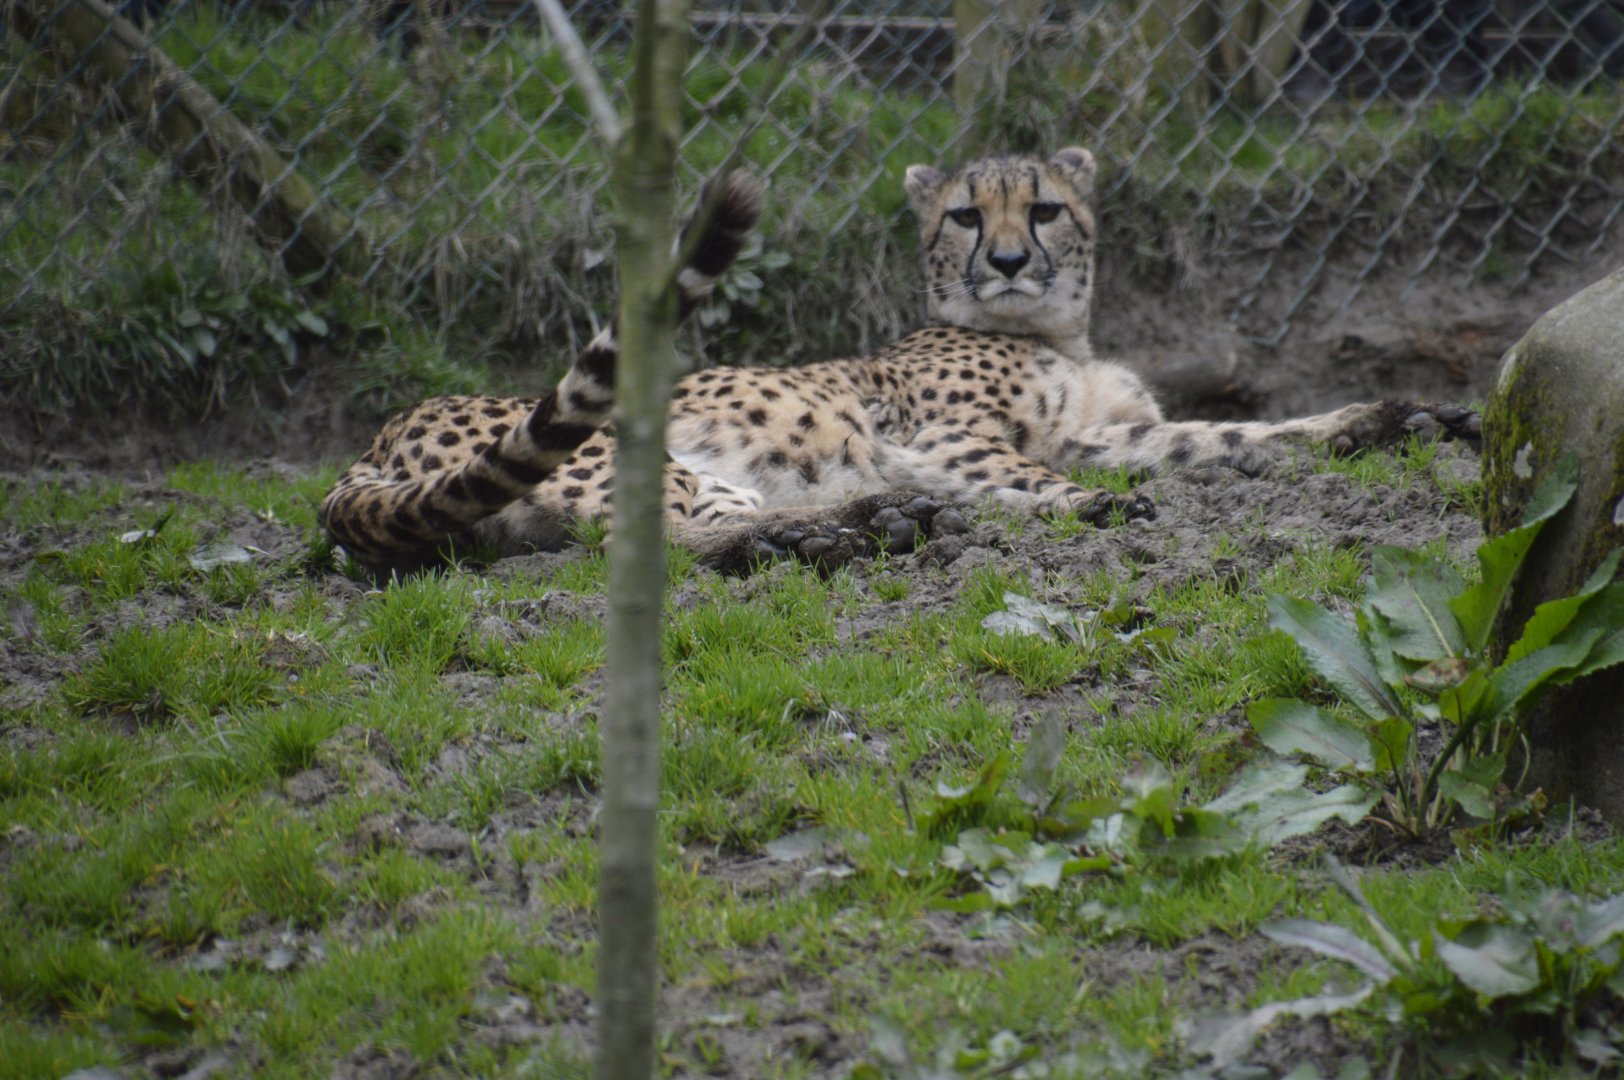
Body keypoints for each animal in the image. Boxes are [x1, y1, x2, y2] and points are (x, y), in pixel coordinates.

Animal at [320, 148, 1479, 576]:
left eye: (1043, 210)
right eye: (966, 215)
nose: (1007, 260)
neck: (1050, 332)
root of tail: (367, 446)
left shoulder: (1112, 432)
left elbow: (1228, 437)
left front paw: (1383, 420)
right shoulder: (947, 438)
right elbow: (1032, 475)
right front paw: (1087, 512)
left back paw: (864, 525)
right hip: (620, 443)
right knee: (662, 542)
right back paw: (857, 526)